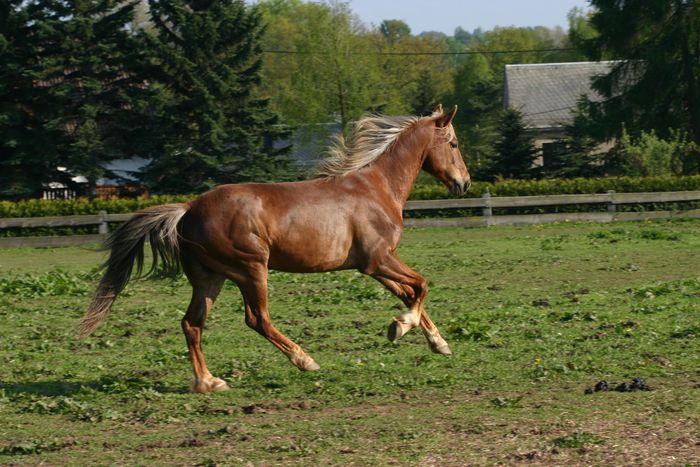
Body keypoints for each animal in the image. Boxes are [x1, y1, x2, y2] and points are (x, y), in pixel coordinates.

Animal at [80, 104, 470, 394]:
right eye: (453, 144)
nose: (464, 183)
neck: (377, 188)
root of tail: (187, 211)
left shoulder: (371, 266)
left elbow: (411, 293)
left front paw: (437, 342)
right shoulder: (378, 260)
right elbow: (421, 286)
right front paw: (399, 327)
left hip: (210, 277)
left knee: (192, 323)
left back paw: (208, 382)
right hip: (251, 269)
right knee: (257, 319)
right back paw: (304, 360)